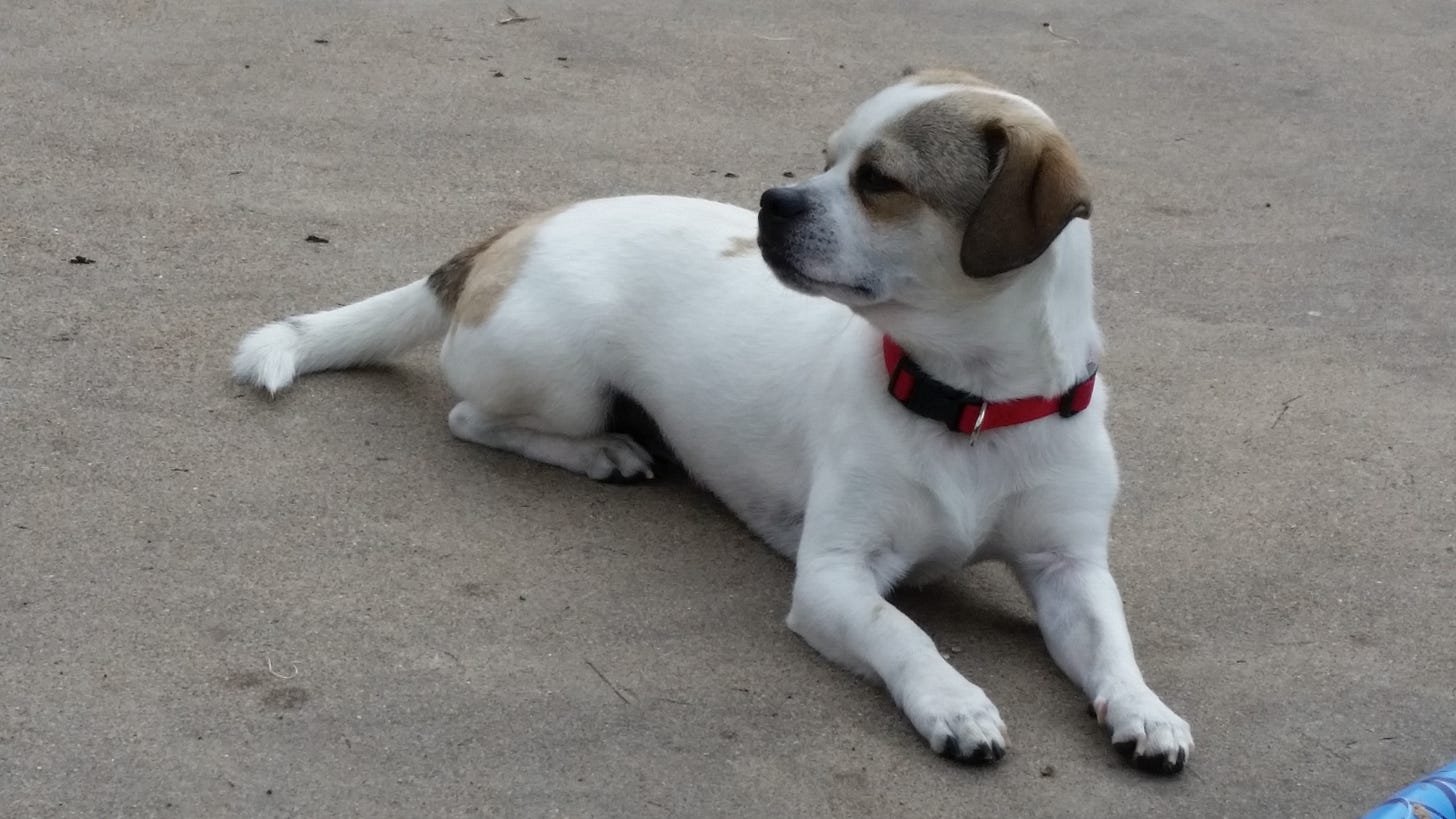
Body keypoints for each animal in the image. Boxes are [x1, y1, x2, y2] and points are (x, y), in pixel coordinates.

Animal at [233, 69, 1193, 774]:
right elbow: (907, 632)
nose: (774, 199)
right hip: (563, 377)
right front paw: (953, 700)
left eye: (879, 181)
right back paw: (606, 451)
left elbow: (1115, 646)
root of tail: (517, 230)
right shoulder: (833, 577)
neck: (970, 405)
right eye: (825, 157)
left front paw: (1145, 708)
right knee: (474, 416)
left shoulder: (1069, 568)